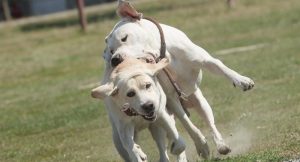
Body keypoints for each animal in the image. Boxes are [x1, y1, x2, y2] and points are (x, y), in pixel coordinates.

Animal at [101, 0, 255, 158]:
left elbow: (220, 66)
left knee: (209, 121)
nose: (115, 59)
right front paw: (201, 144)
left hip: (200, 102)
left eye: (124, 38)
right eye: (111, 50)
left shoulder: (203, 59)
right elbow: (186, 122)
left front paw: (242, 80)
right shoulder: (170, 97)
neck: (163, 55)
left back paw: (221, 144)